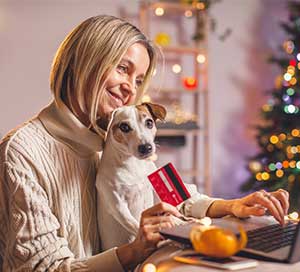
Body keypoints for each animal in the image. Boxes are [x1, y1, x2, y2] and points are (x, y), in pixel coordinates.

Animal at [96, 102, 166, 251]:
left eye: (149, 123)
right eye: (124, 127)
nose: (146, 147)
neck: (133, 164)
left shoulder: (149, 191)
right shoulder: (118, 205)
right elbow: (135, 224)